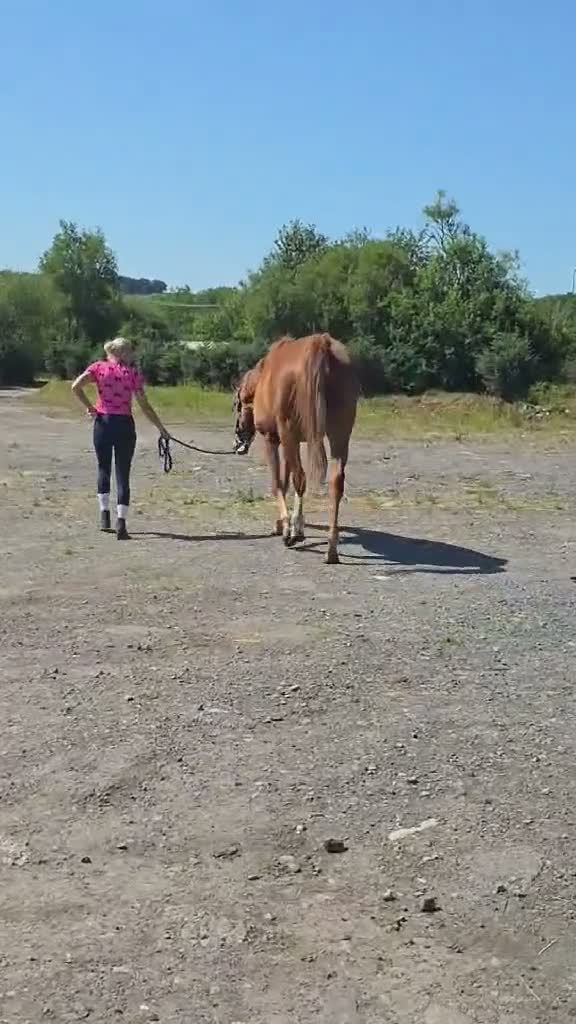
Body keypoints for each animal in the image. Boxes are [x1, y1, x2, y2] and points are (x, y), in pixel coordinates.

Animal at [233, 333, 359, 564]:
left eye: (237, 406)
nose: (238, 441)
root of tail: (321, 343)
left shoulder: (274, 439)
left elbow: (278, 483)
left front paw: (286, 526)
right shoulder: (293, 442)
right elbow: (285, 481)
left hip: (289, 432)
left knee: (301, 478)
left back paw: (293, 535)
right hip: (340, 435)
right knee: (335, 483)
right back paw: (331, 549)